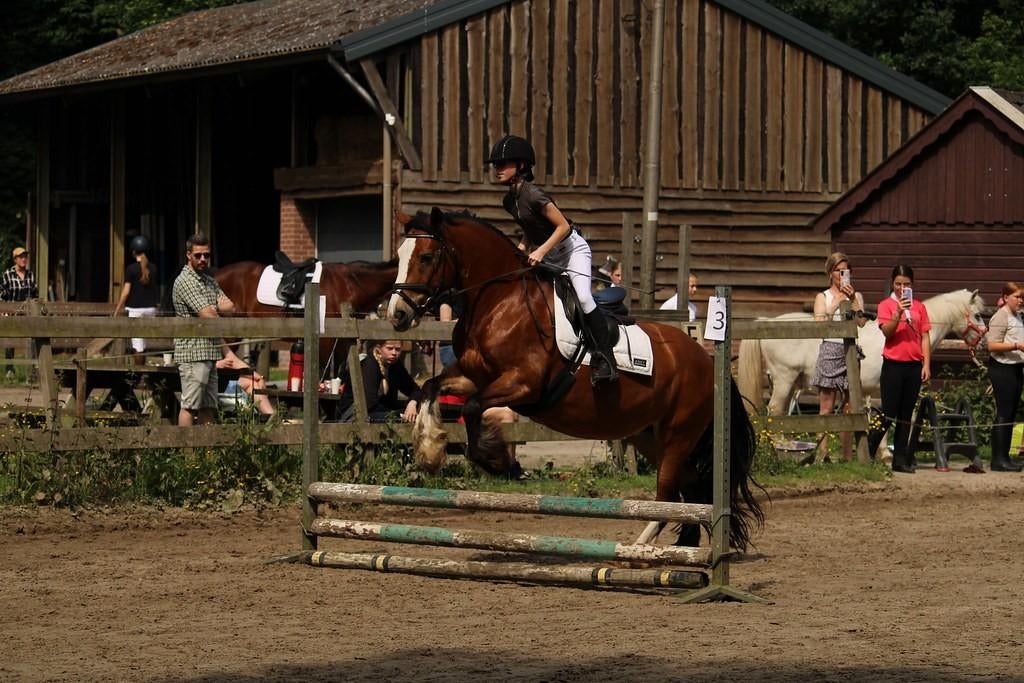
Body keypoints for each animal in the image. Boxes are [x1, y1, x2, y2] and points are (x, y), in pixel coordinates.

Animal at [386, 208, 764, 551]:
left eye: (427, 257)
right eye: (399, 257)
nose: (397, 315)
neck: (498, 301)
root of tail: (706, 360)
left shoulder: (523, 384)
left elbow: (472, 408)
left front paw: (498, 462)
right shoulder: (472, 376)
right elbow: (430, 389)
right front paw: (429, 449)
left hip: (678, 434)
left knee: (669, 493)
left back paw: (638, 549)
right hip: (649, 435)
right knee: (689, 488)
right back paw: (681, 547)